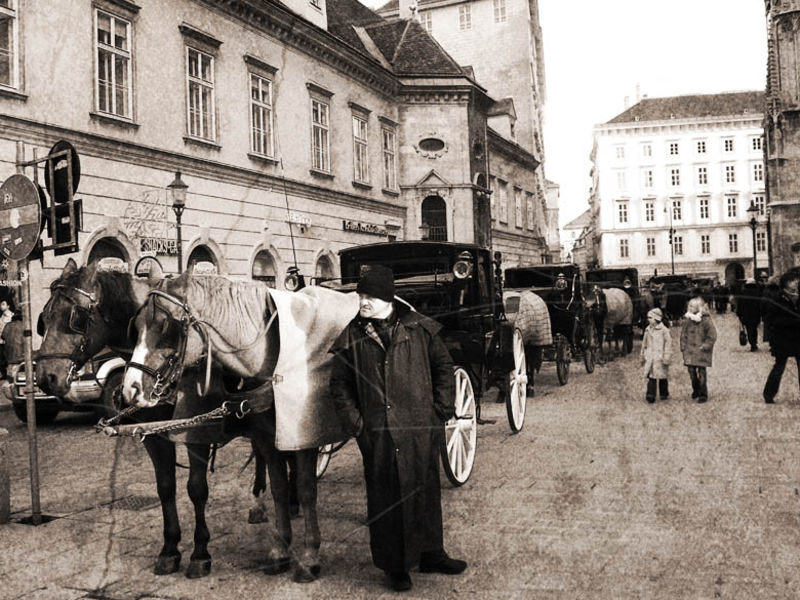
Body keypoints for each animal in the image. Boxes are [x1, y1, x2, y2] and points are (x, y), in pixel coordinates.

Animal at [35, 259, 272, 579]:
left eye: (76, 318)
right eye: (44, 318)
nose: (45, 378)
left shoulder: (197, 431)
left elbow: (196, 489)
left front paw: (200, 552)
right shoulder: (154, 435)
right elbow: (165, 488)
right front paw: (170, 548)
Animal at [121, 272, 358, 582]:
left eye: (167, 327)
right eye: (135, 327)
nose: (130, 389)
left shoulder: (303, 435)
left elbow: (307, 490)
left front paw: (309, 556)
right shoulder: (267, 438)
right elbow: (279, 488)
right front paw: (281, 550)